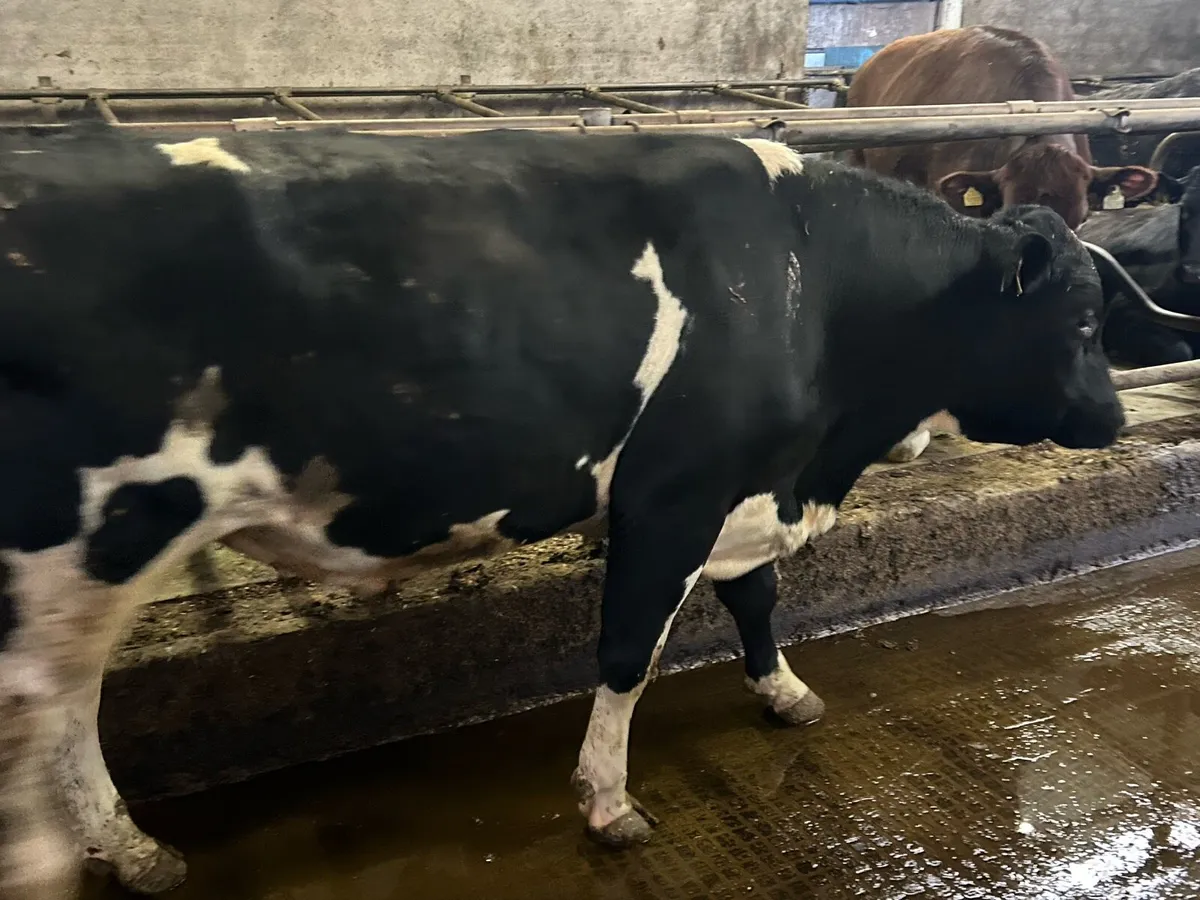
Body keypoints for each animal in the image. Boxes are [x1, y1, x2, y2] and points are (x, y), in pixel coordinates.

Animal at [0, 125, 1126, 898]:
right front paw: (609, 801)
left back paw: (135, 850)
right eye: (1080, 317)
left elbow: (756, 598)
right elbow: (629, 652)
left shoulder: (743, 487)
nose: (1114, 418)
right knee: (49, 726)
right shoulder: (674, 492)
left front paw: (784, 692)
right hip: (68, 556)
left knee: (72, 709)